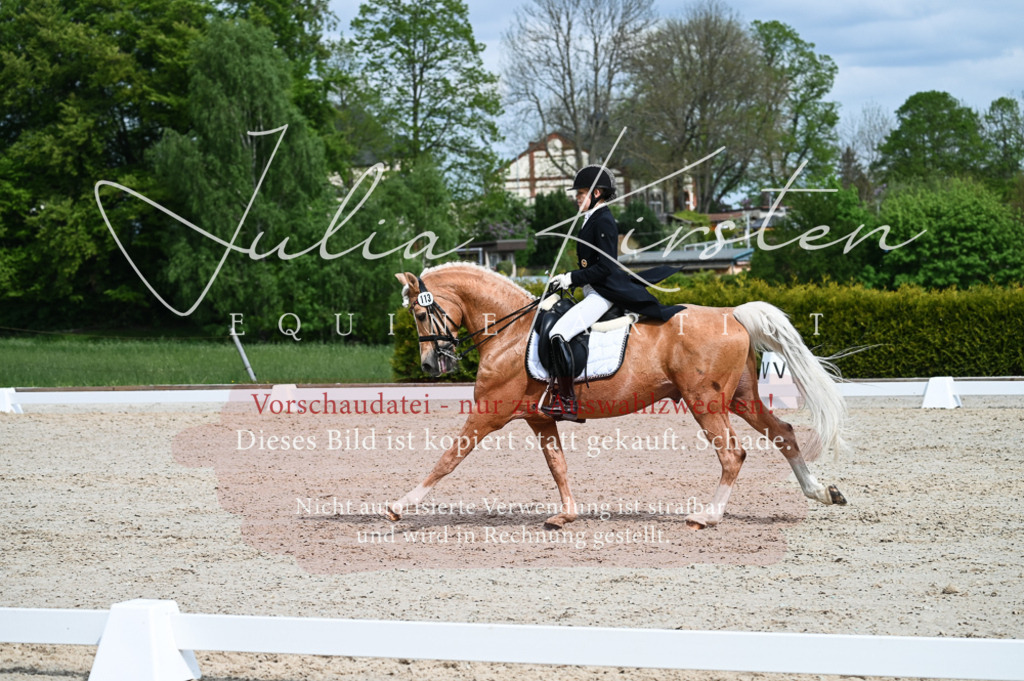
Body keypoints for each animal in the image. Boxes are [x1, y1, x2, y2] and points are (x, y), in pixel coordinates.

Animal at [388, 262, 848, 529]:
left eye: (419, 313)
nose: (429, 365)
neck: (510, 332)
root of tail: (731, 313)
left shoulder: (489, 412)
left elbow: (448, 458)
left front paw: (399, 504)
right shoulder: (540, 418)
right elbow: (557, 465)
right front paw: (566, 515)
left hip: (705, 402)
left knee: (733, 454)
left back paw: (707, 516)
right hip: (739, 397)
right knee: (784, 432)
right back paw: (821, 492)